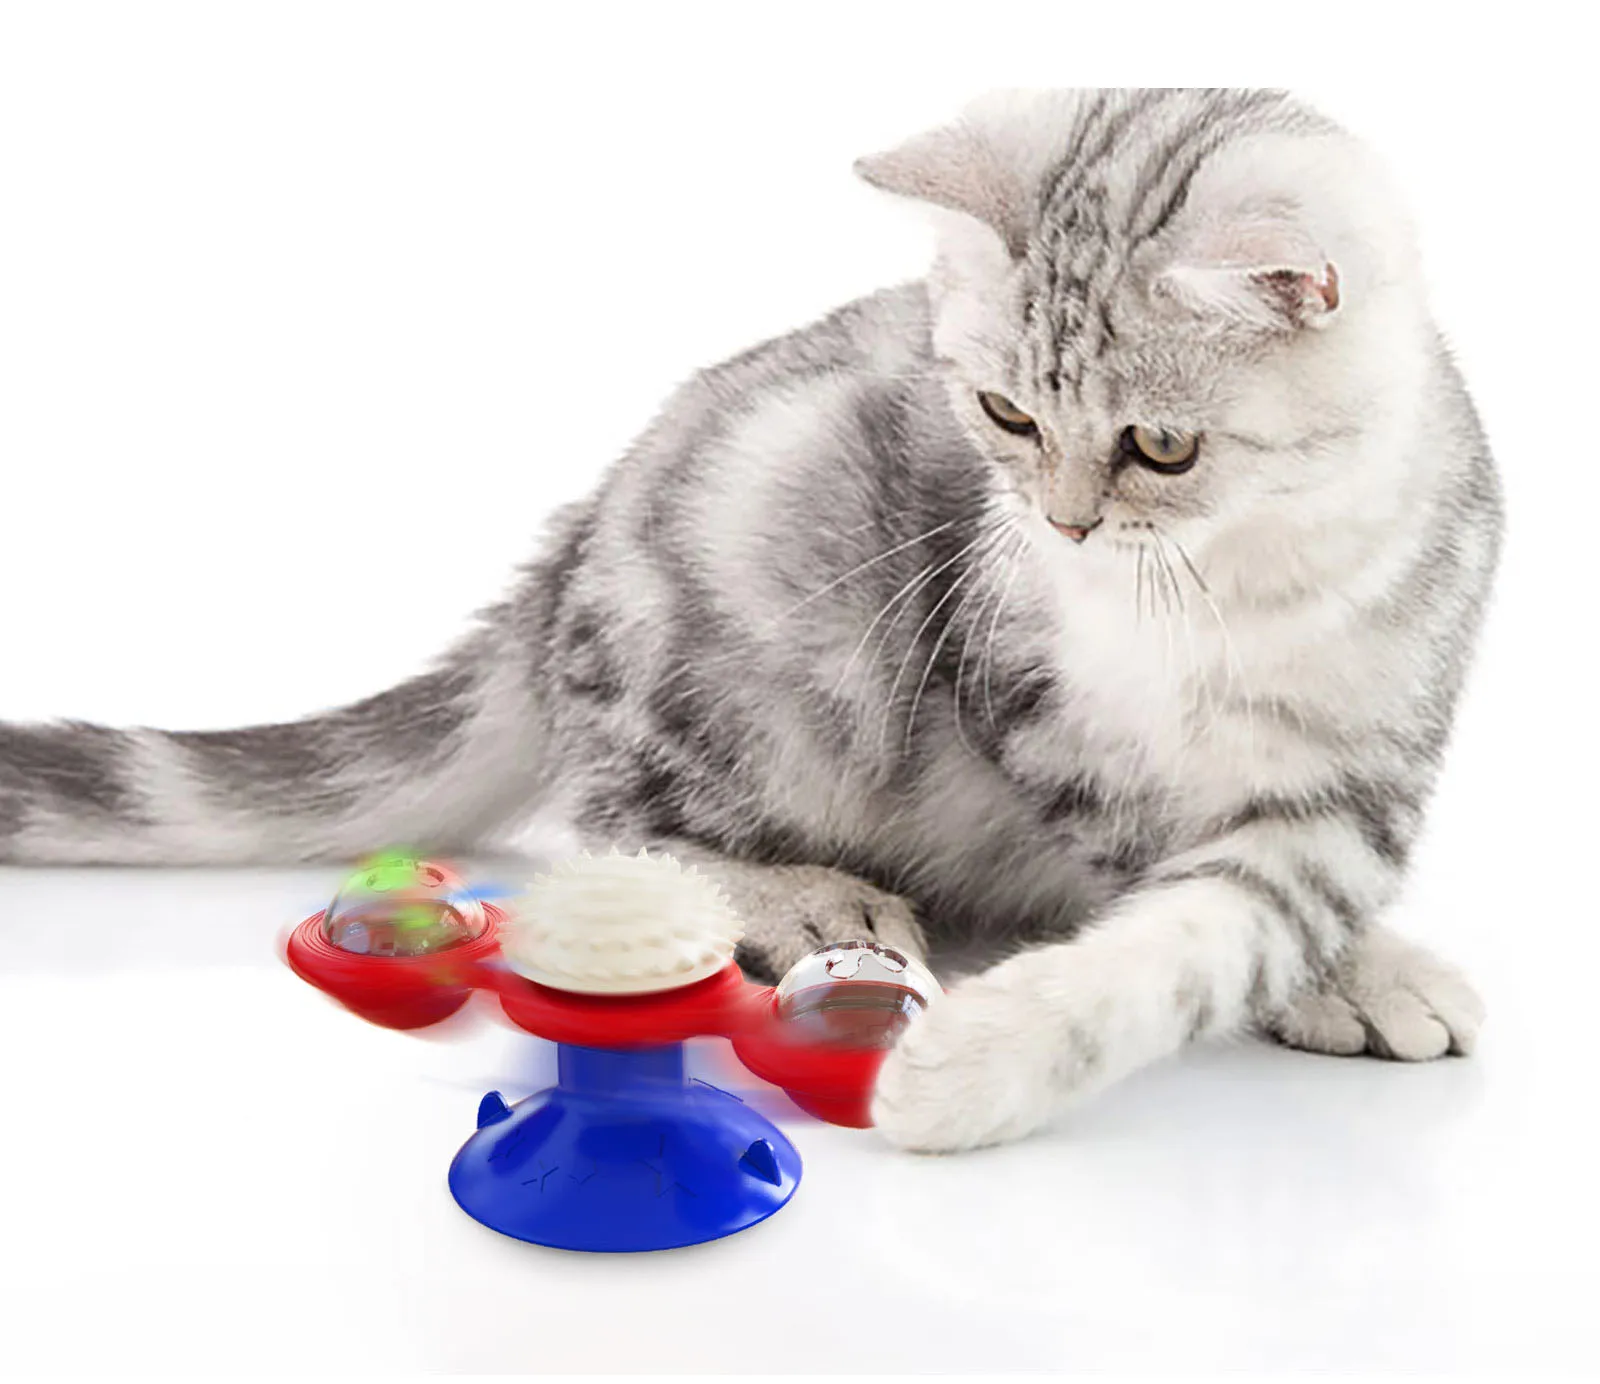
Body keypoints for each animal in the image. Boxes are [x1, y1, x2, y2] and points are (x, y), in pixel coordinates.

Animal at [0, 88, 1501, 1152]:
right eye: (1005, 415)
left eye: (1163, 446)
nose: (1063, 524)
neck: (1238, 579)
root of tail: (577, 541)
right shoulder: (1025, 695)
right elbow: (1196, 894)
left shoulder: (1382, 751)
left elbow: (1257, 905)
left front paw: (1350, 965)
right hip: (772, 585)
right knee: (616, 820)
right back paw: (801, 889)